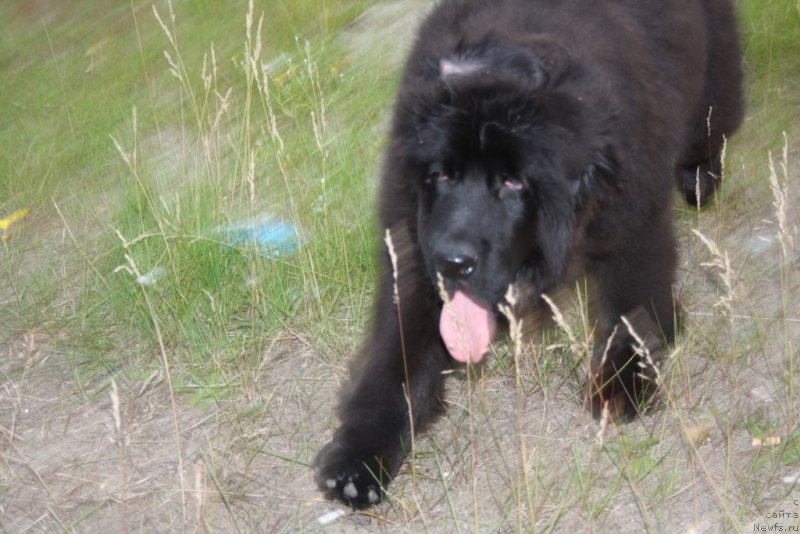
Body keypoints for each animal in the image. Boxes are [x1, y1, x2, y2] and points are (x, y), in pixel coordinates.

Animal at [312, 0, 744, 510]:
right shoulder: (414, 258)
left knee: (714, 121)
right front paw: (359, 456)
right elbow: (395, 360)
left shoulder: (635, 223)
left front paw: (621, 384)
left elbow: (633, 310)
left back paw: (700, 177)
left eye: (514, 182)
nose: (452, 261)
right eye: (441, 174)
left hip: (713, 77)